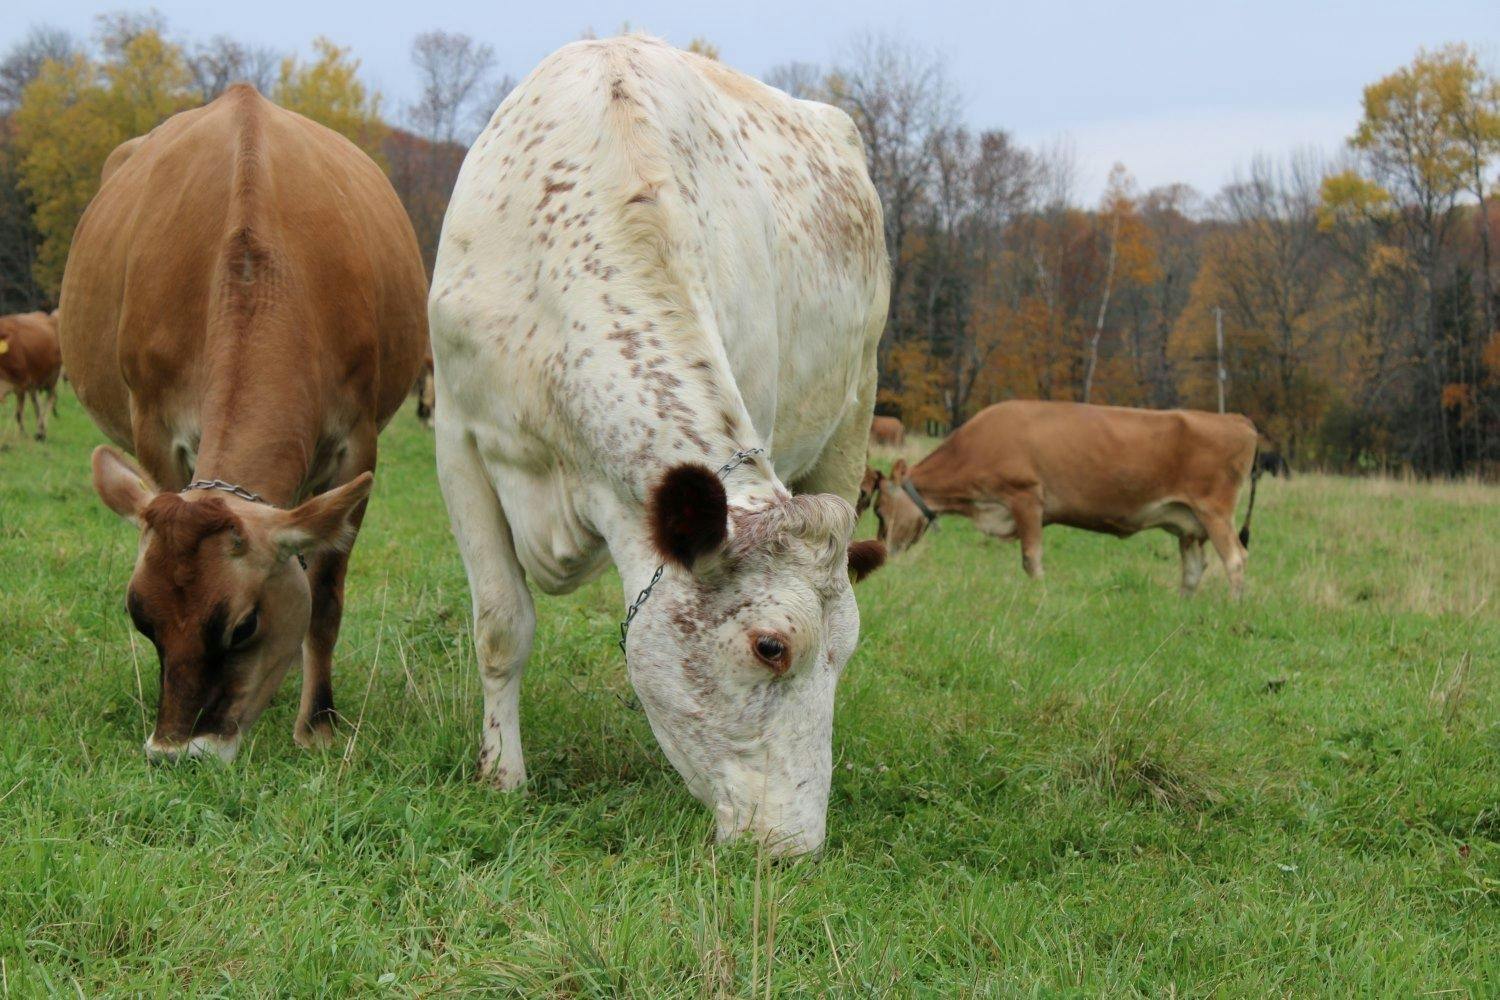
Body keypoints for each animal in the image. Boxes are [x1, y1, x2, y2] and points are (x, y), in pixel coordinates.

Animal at [0, 310, 62, 440]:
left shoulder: (21, 384)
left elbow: (18, 414)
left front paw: (22, 435)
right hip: (34, 382)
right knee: (36, 403)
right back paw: (40, 428)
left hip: (52, 377)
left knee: (50, 398)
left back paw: (41, 433)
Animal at [60, 86, 429, 761]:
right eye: (140, 616)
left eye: (243, 625)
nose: (174, 753)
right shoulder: (155, 429)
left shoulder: (358, 444)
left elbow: (325, 597)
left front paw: (318, 724)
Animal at [429, 35, 882, 857]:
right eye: (771, 646)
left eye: (846, 655)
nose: (795, 846)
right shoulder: (457, 437)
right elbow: (501, 624)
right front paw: (503, 775)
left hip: (855, 409)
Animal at [876, 398, 1260, 599]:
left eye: (880, 510)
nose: (884, 551)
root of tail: (1237, 420)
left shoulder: (1026, 497)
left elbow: (1031, 558)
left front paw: (1039, 595)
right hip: (1189, 523)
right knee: (1194, 568)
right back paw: (1182, 607)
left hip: (1214, 510)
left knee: (1235, 559)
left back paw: (1234, 608)